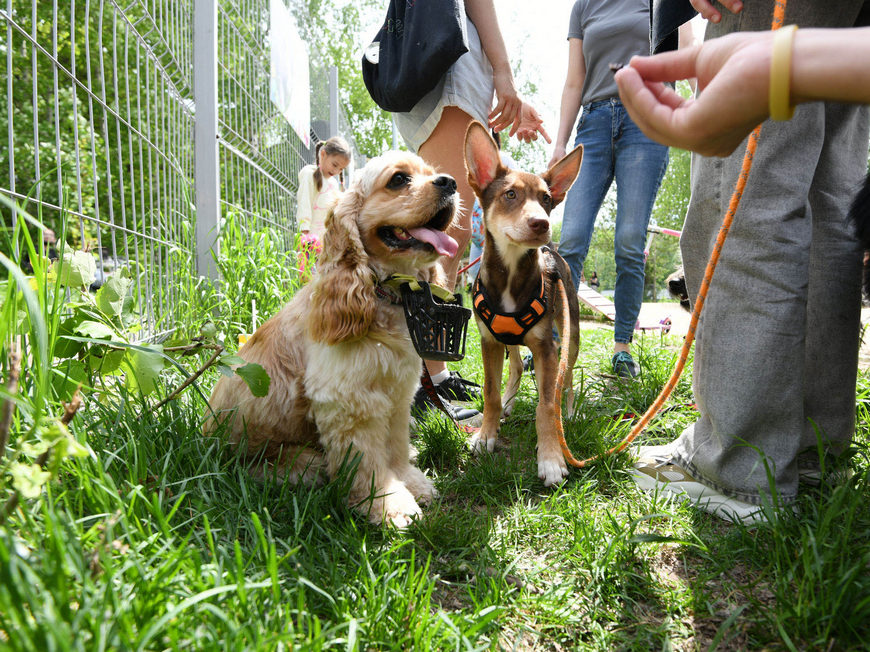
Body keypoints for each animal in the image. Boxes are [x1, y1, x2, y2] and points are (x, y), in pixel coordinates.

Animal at [205, 153, 464, 528]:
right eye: (398, 180)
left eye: (432, 173)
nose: (451, 182)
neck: (380, 296)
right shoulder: (350, 402)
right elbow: (369, 462)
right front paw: (388, 504)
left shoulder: (396, 395)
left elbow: (396, 447)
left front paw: (411, 482)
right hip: (288, 459)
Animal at [464, 122, 584, 486]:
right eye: (510, 195)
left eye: (546, 199)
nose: (542, 225)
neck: (512, 272)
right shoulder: (488, 340)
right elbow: (489, 392)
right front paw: (486, 436)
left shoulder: (546, 347)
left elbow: (546, 405)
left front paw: (551, 459)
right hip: (508, 338)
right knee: (516, 365)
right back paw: (508, 401)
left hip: (570, 333)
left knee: (567, 378)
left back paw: (570, 412)